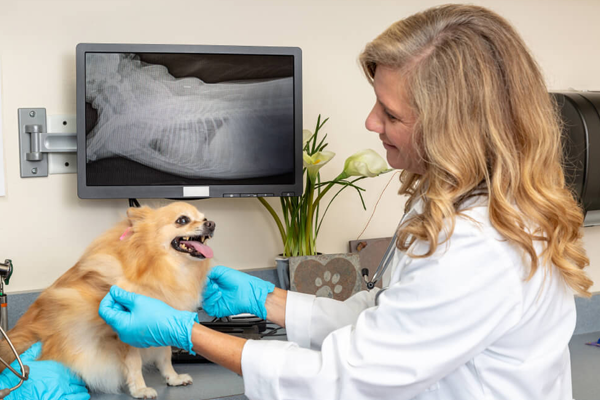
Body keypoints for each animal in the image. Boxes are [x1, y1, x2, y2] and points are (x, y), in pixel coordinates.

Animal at [0, 202, 214, 398]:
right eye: (182, 220)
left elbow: (165, 356)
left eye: (204, 218)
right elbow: (134, 363)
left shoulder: (161, 324)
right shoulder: (125, 334)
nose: (211, 223)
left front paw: (173, 378)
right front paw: (140, 389)